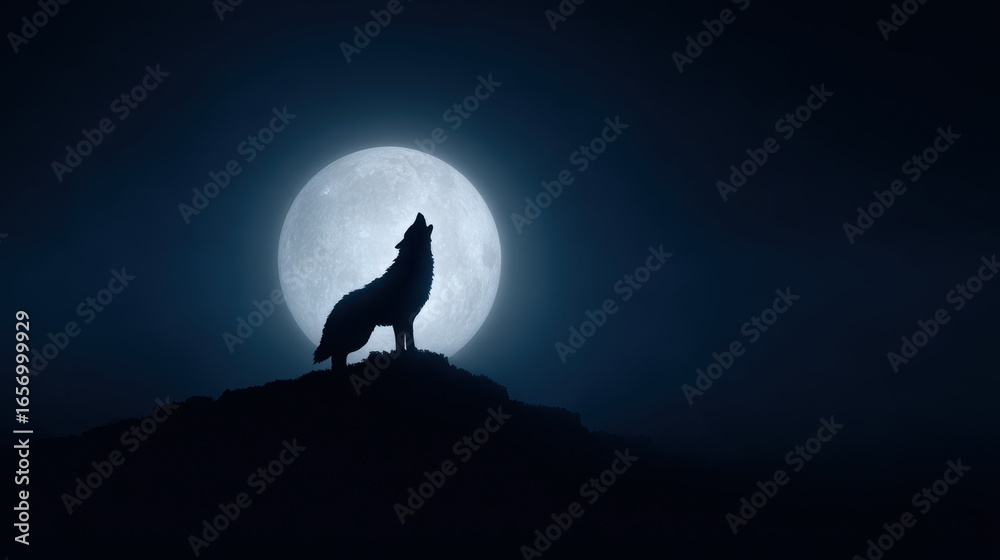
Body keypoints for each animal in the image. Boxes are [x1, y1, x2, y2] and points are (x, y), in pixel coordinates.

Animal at [313, 213, 434, 369]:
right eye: (412, 226)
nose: (419, 213)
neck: (412, 265)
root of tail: (332, 311)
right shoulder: (399, 319)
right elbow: (401, 344)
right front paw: (405, 358)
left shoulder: (408, 318)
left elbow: (409, 341)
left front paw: (412, 355)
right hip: (360, 337)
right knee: (337, 355)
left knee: (339, 357)